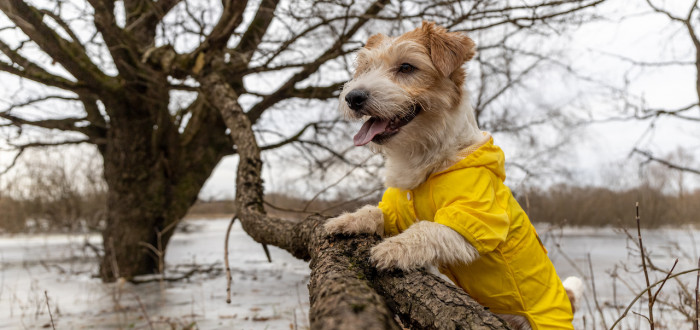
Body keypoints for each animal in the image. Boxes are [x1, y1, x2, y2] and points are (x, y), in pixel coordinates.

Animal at [326, 21, 584, 328]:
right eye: (365, 69)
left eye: (406, 67)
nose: (353, 97)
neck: (429, 160)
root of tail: (566, 298)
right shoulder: (397, 213)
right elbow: (375, 211)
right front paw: (346, 220)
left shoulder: (474, 221)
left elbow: (427, 228)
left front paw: (392, 249)